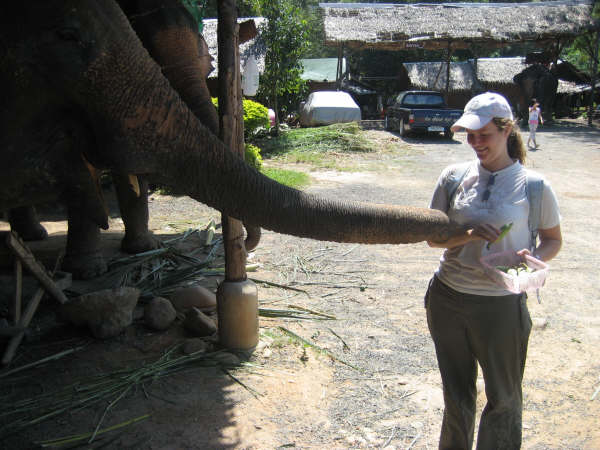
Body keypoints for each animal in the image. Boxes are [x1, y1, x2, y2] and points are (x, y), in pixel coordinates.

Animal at [0, 0, 458, 278]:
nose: (245, 245)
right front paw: (90, 270)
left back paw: (32, 237)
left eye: (208, 64)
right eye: (67, 35)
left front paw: (142, 247)